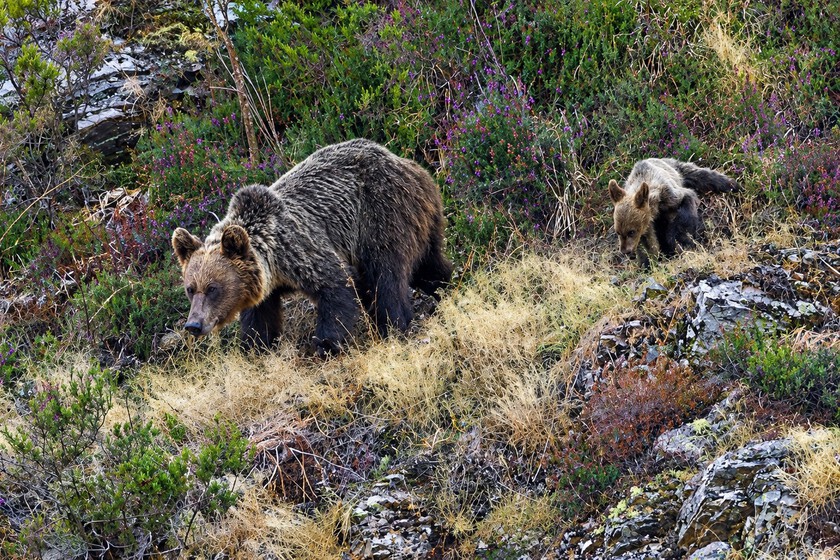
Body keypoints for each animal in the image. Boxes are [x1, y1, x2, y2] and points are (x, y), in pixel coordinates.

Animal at [171, 138, 453, 356]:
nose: (193, 325)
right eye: (190, 288)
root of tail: (410, 165)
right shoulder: (262, 284)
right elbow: (260, 317)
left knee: (386, 275)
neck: (274, 263)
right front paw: (256, 346)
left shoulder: (300, 249)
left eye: (212, 288)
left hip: (381, 215)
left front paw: (326, 344)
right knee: (428, 264)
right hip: (421, 221)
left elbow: (336, 285)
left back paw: (394, 324)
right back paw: (446, 286)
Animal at [608, 158, 738, 268]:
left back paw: (733, 184)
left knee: (702, 175)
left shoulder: (669, 195)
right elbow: (648, 243)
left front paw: (682, 242)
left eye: (631, 231)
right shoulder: (646, 224)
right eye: (618, 232)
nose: (625, 251)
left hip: (678, 170)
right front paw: (648, 262)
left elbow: (684, 214)